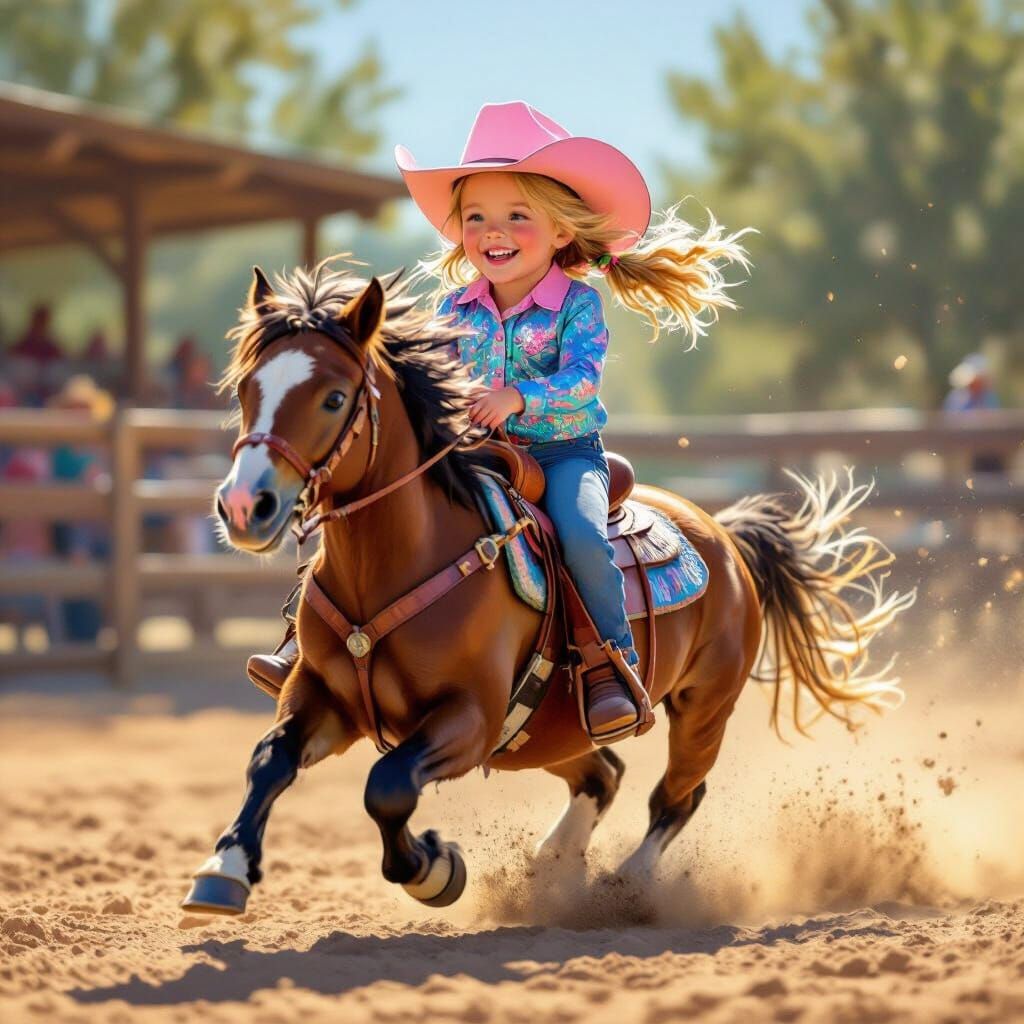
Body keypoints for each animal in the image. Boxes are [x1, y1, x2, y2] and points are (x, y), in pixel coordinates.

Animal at [182, 261, 914, 915]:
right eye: (245, 391)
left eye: (334, 398)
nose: (246, 506)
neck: (397, 562)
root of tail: (724, 535)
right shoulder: (322, 694)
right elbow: (269, 759)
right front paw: (223, 871)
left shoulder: (469, 718)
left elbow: (386, 786)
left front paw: (434, 870)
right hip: (548, 732)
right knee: (605, 775)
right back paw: (553, 863)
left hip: (703, 705)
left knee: (676, 796)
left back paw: (625, 887)